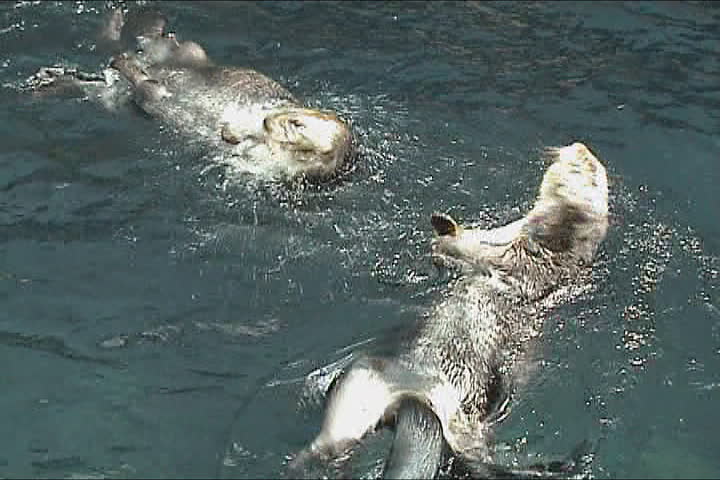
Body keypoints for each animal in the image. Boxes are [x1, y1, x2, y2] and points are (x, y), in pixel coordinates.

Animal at [26, 8, 353, 181]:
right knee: (153, 43)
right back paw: (143, 24)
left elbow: (242, 145)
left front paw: (229, 133)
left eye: (296, 127)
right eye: (292, 119)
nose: (267, 122)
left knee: (133, 81)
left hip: (142, 94)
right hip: (190, 52)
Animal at [293, 142, 609, 478]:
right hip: (360, 384)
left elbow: (468, 250)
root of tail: (414, 399)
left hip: (434, 414)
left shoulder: (513, 255)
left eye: (584, 167)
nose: (579, 147)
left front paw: (445, 227)